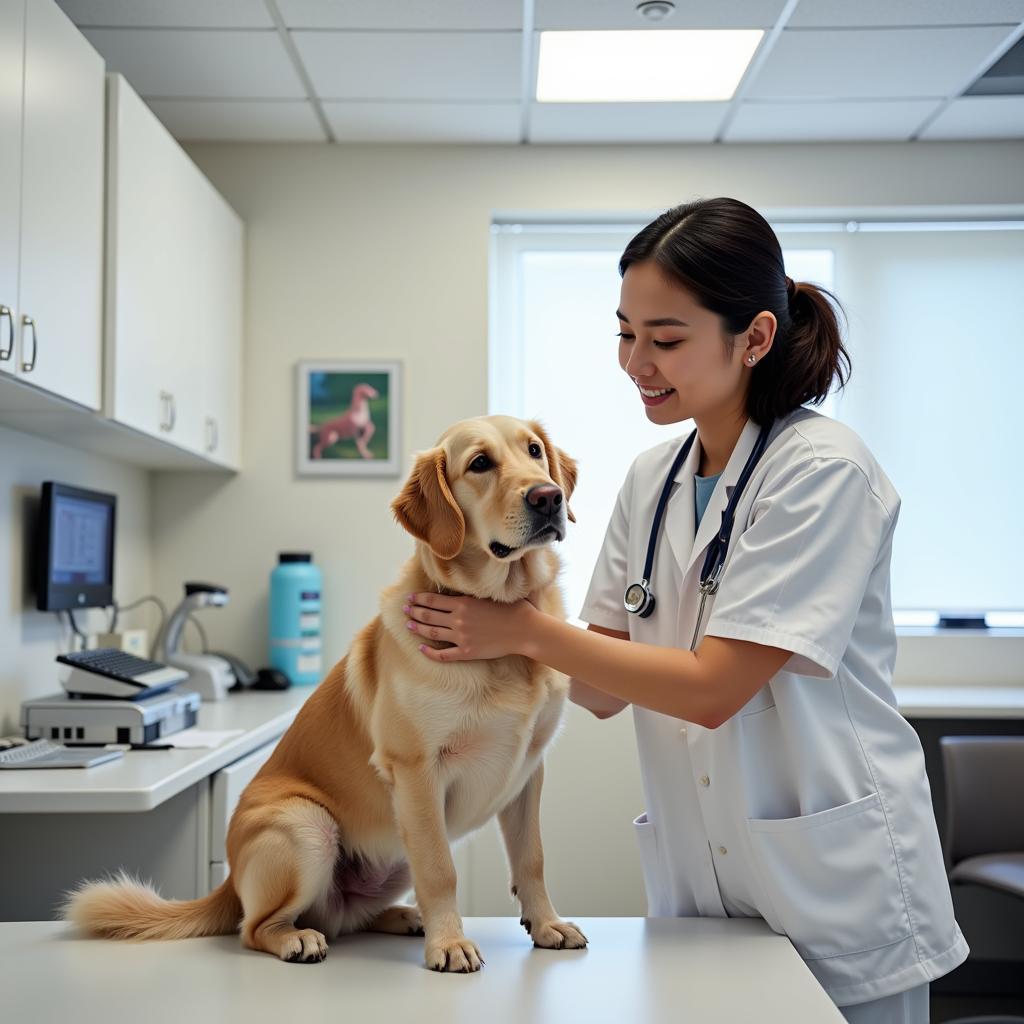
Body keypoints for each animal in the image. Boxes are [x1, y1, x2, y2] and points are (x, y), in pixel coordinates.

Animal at [64, 411, 589, 970]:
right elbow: (441, 871)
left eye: (534, 451)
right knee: (256, 928)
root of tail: (228, 880)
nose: (549, 497)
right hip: (307, 827)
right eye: (480, 464)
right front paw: (449, 944)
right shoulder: (416, 771)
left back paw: (404, 917)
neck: (500, 625)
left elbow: (531, 858)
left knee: (346, 918)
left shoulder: (528, 770)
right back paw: (298, 939)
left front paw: (547, 924)